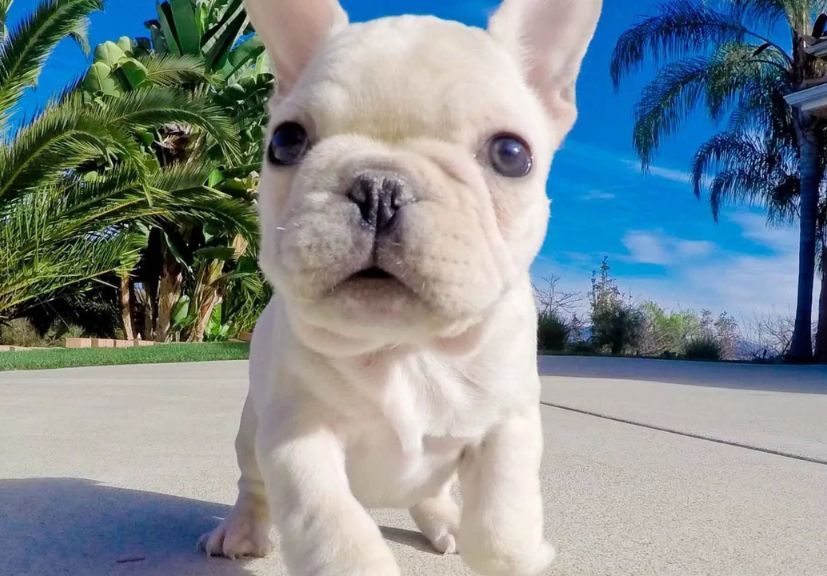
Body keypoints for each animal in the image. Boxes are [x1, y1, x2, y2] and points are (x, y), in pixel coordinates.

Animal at [201, 1, 600, 576]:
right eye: (285, 142)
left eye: (511, 154)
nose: (379, 187)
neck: (404, 348)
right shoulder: (295, 437)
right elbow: (336, 529)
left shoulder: (509, 424)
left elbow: (501, 526)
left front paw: (523, 552)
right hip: (250, 433)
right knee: (252, 486)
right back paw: (241, 531)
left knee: (430, 493)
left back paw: (445, 523)